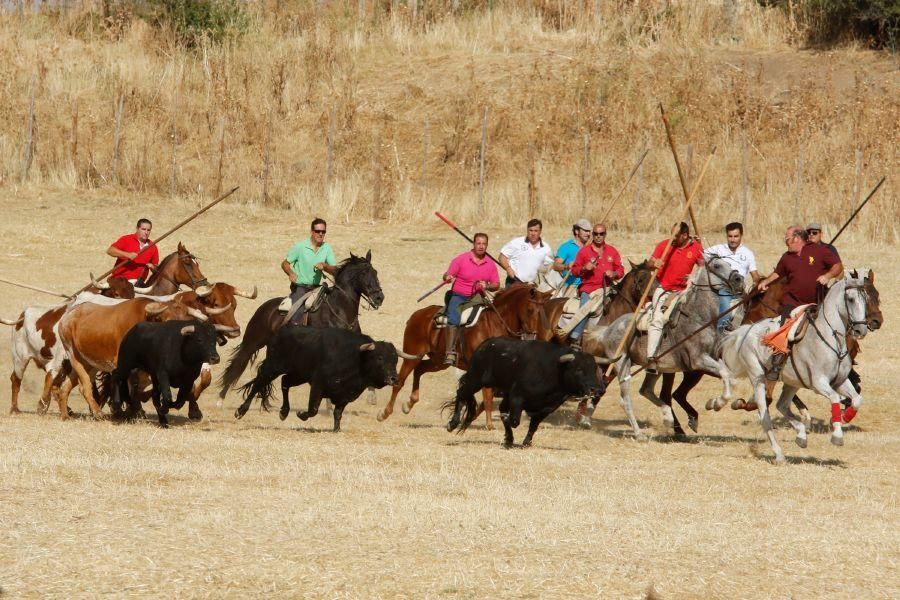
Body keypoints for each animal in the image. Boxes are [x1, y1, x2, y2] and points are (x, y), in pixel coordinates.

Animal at [221, 251, 386, 396]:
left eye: (376, 272)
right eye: (364, 273)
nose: (379, 297)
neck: (340, 310)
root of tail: (264, 308)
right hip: (252, 343)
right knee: (237, 365)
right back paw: (221, 398)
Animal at [370, 284, 548, 428]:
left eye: (543, 313)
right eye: (530, 310)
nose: (532, 337)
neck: (495, 325)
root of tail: (417, 315)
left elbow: (488, 395)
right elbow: (487, 395)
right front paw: (488, 424)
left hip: (439, 361)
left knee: (420, 369)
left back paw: (409, 403)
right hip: (412, 355)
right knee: (399, 382)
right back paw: (384, 413)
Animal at [444, 338, 600, 446]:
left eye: (595, 370)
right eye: (579, 369)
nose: (594, 389)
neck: (554, 370)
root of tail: (485, 344)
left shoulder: (547, 408)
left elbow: (534, 425)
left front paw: (526, 442)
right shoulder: (516, 397)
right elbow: (514, 420)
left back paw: (509, 439)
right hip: (476, 380)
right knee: (461, 393)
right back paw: (452, 424)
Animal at [580, 255, 740, 438]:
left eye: (729, 264)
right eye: (717, 265)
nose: (739, 279)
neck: (699, 318)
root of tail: (608, 329)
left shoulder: (712, 359)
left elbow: (730, 376)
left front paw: (712, 404)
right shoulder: (698, 361)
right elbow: (725, 374)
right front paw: (716, 403)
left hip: (655, 368)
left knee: (645, 390)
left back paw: (667, 417)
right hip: (621, 365)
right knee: (624, 398)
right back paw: (638, 433)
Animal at [712, 276, 868, 464]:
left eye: (866, 300)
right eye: (851, 299)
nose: (861, 330)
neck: (831, 340)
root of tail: (747, 330)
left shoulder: (840, 381)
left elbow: (857, 399)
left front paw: (841, 419)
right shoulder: (819, 383)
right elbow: (835, 398)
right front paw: (837, 435)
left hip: (793, 382)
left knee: (782, 405)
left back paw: (801, 436)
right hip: (758, 378)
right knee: (765, 415)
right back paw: (779, 454)